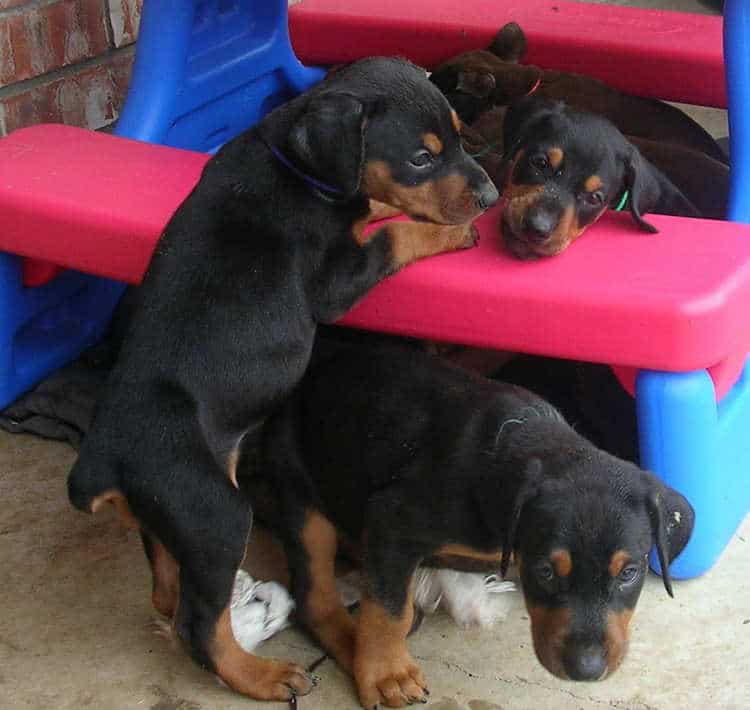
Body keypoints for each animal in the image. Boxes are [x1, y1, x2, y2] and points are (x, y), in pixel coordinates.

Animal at [66, 58, 500, 704]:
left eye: (458, 133)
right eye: (421, 158)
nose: (491, 195)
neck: (292, 168)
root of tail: (101, 462)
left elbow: (372, 208)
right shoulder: (336, 282)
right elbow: (394, 235)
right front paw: (447, 231)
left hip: (173, 512)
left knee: (168, 587)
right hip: (215, 512)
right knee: (198, 624)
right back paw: (262, 676)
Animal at [266, 336, 700, 708]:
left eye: (629, 573)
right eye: (544, 571)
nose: (586, 669)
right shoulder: (391, 519)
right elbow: (388, 608)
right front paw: (386, 674)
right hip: (302, 497)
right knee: (313, 596)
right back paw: (353, 646)